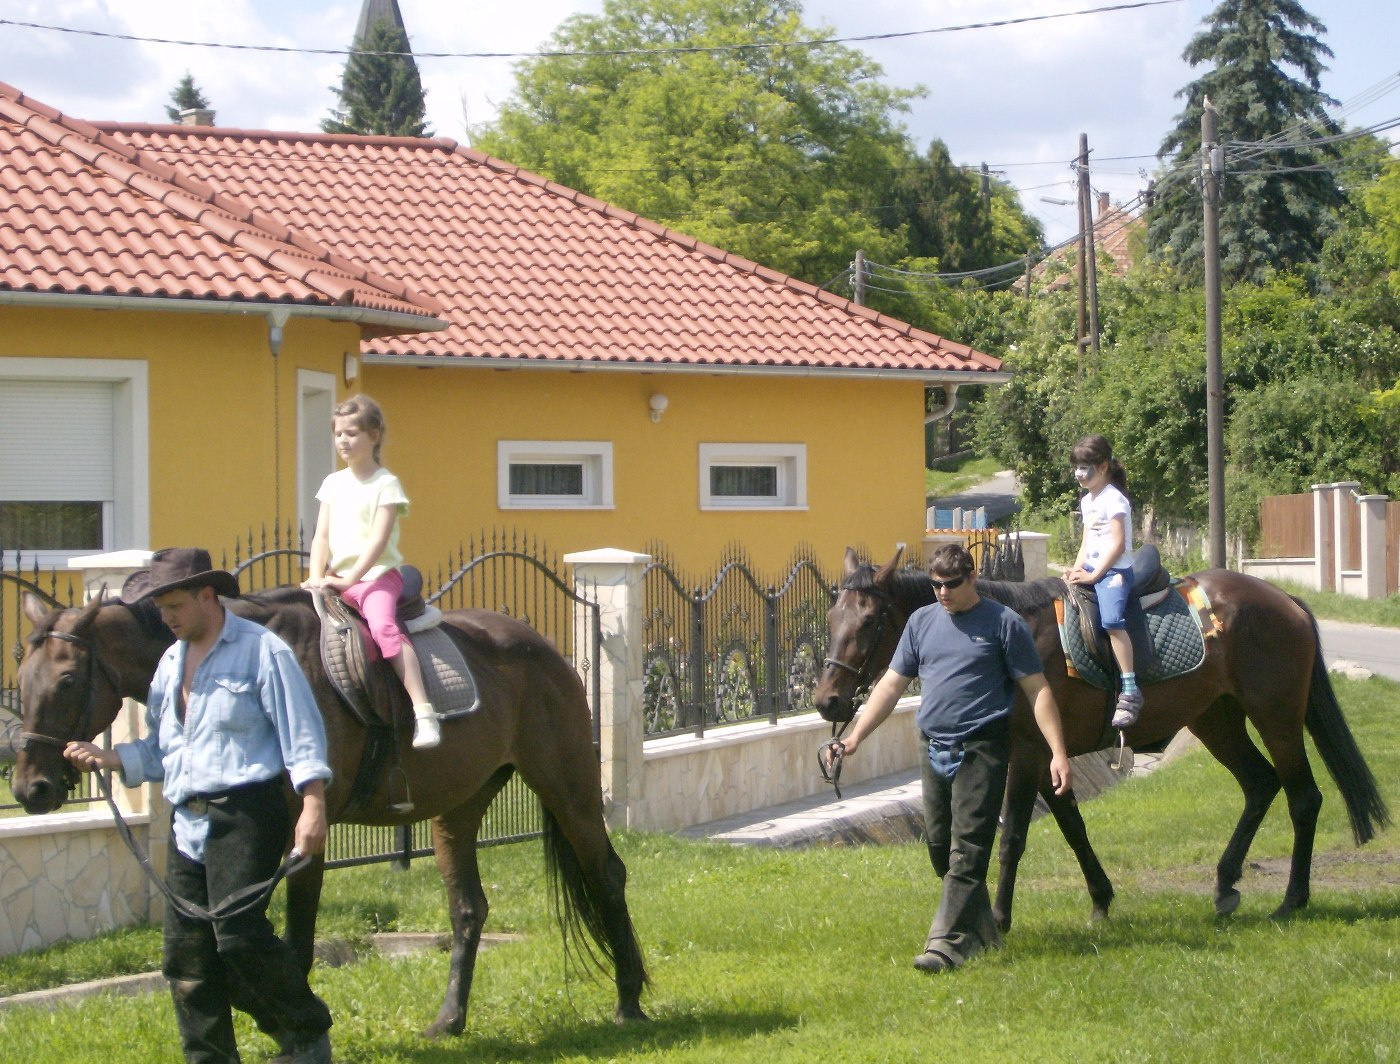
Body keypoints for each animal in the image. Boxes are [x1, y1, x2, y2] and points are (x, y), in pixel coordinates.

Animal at [10, 590, 646, 1041]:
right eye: (20, 681)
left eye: (67, 679)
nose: (29, 788)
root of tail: (544, 649)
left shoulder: (302, 839)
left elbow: (296, 941)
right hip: (458, 810)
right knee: (469, 910)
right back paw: (449, 1020)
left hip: (568, 789)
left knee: (608, 877)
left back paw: (630, 1001)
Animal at [812, 548, 1388, 929]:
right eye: (832, 616)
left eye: (869, 620)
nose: (827, 701)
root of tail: (1286, 600)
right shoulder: (1050, 758)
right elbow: (1073, 828)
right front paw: (1100, 898)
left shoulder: (1027, 754)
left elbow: (1013, 837)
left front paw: (999, 918)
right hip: (1216, 720)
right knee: (1261, 786)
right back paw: (1226, 883)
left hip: (1276, 716)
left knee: (1303, 797)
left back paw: (1293, 898)